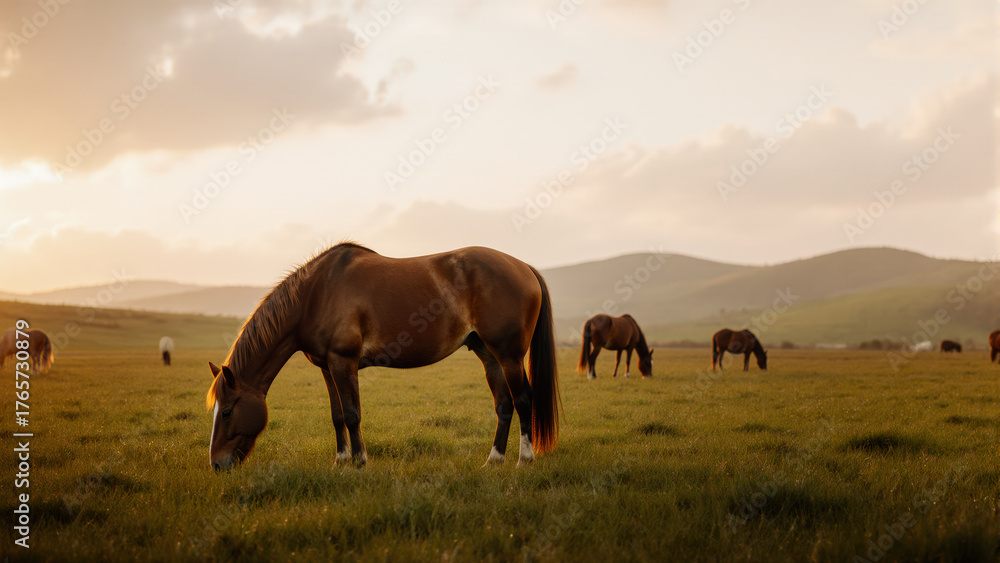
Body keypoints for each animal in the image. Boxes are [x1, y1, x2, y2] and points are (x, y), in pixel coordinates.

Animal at [205, 243, 559, 470]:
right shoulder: (327, 368)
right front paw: (340, 460)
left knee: (523, 400)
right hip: (489, 356)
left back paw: (524, 460)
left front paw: (359, 461)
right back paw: (493, 460)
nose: (217, 465)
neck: (315, 294)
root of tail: (525, 268)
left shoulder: (343, 362)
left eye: (227, 412)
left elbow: (352, 414)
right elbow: (337, 415)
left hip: (509, 356)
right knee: (504, 404)